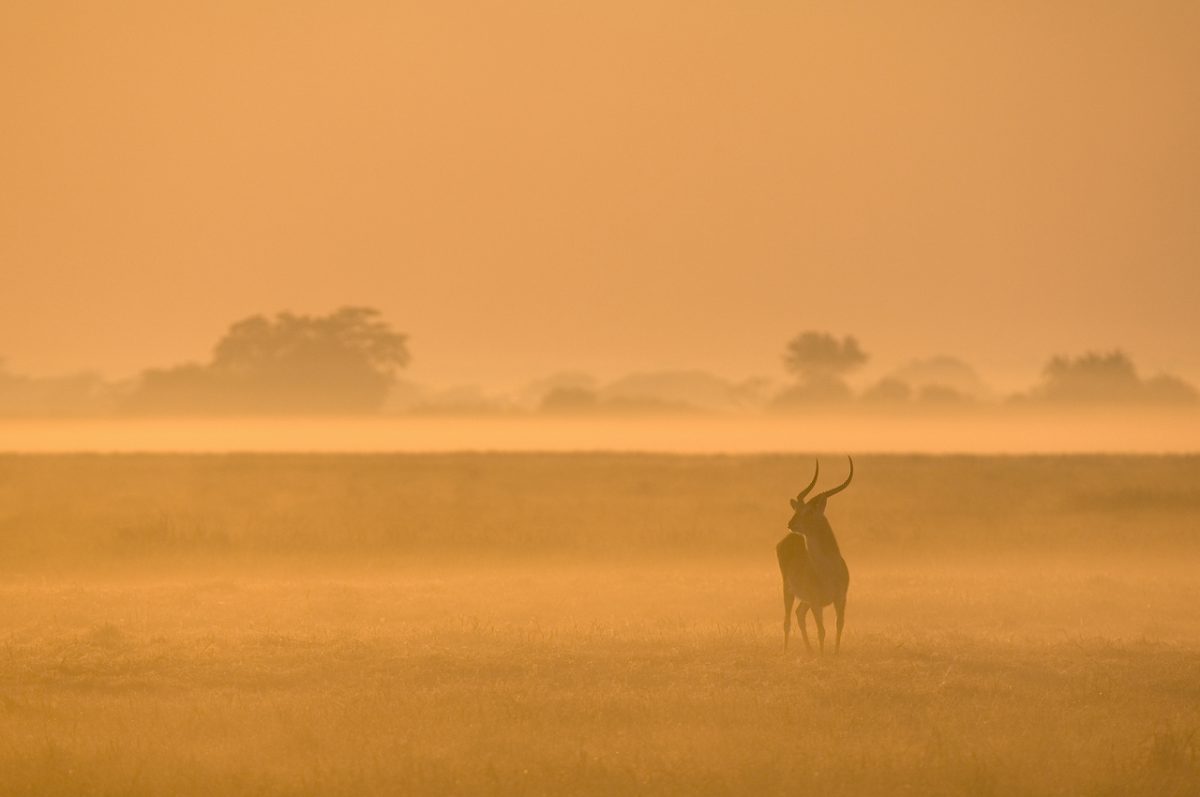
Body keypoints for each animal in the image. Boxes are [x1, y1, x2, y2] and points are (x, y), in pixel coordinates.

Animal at [777, 453, 854, 652]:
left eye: (810, 511)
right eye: (798, 509)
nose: (791, 524)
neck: (826, 570)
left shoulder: (840, 599)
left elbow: (839, 625)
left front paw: (835, 653)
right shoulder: (816, 602)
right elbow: (822, 631)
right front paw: (822, 655)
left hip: (805, 601)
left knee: (799, 614)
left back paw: (809, 650)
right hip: (788, 590)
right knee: (787, 620)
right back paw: (786, 651)